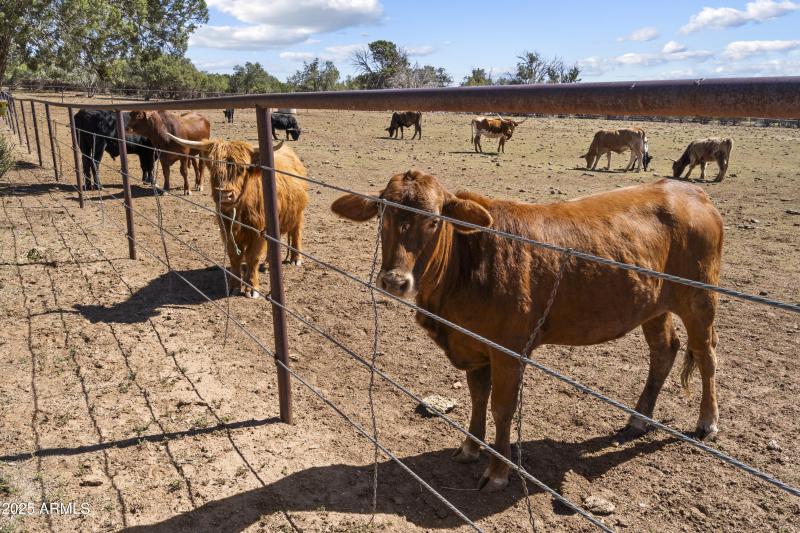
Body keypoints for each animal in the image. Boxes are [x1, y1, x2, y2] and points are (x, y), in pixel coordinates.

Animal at [166, 133, 309, 297]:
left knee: (296, 233)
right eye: (213, 167)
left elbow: (253, 257)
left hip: (298, 213)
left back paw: (296, 259)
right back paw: (267, 264)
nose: (225, 195)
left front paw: (252, 287)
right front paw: (234, 286)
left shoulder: (259, 230)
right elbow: (234, 255)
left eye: (241, 169)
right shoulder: (226, 229)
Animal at [332, 170, 723, 491]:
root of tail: (690, 191)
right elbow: (478, 398)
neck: (469, 261)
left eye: (434, 220)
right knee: (664, 350)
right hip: (654, 306)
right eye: (383, 213)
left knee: (706, 356)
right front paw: (470, 446)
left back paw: (707, 421)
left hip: (700, 299)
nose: (395, 281)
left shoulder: (509, 350)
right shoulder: (474, 347)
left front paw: (498, 471)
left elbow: (502, 408)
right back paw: (639, 418)